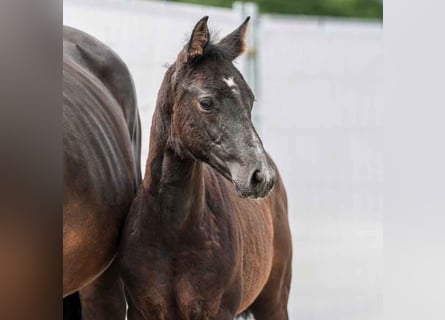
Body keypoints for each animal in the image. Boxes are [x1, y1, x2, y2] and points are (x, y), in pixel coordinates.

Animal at [119, 17, 292, 320]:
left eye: (251, 100)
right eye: (206, 102)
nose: (262, 177)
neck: (172, 233)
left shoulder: (217, 310)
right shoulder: (141, 310)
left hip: (274, 301)